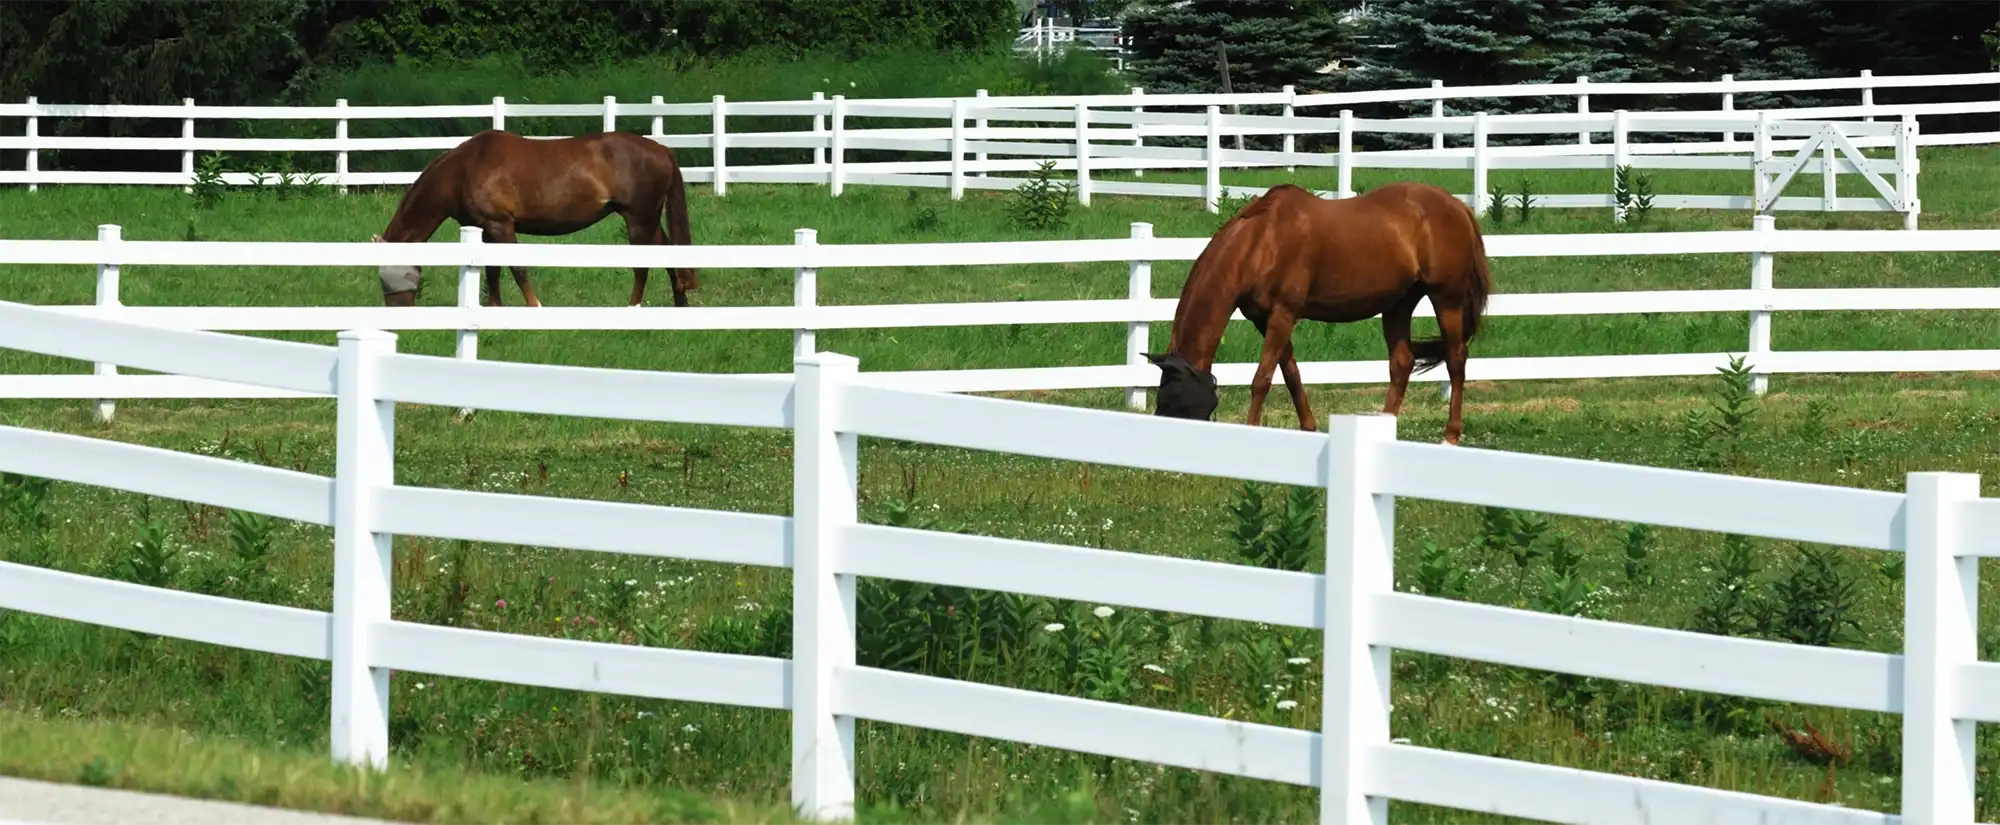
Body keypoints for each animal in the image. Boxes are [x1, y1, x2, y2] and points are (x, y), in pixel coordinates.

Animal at [372, 129, 700, 308]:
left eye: (386, 276)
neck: (463, 170)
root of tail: (662, 150)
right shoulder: (487, 230)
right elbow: (493, 271)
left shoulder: (501, 225)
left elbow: (517, 268)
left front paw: (534, 305)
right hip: (648, 219)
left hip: (638, 220)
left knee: (643, 265)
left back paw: (634, 307)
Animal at [1152, 182, 1496, 444]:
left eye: (1176, 398)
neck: (1262, 240)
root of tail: (1458, 207)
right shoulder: (1266, 319)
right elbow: (1291, 374)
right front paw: (1309, 428)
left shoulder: (1283, 315)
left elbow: (1262, 378)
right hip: (1398, 305)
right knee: (1402, 363)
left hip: (1446, 300)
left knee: (1456, 360)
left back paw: (1450, 436)